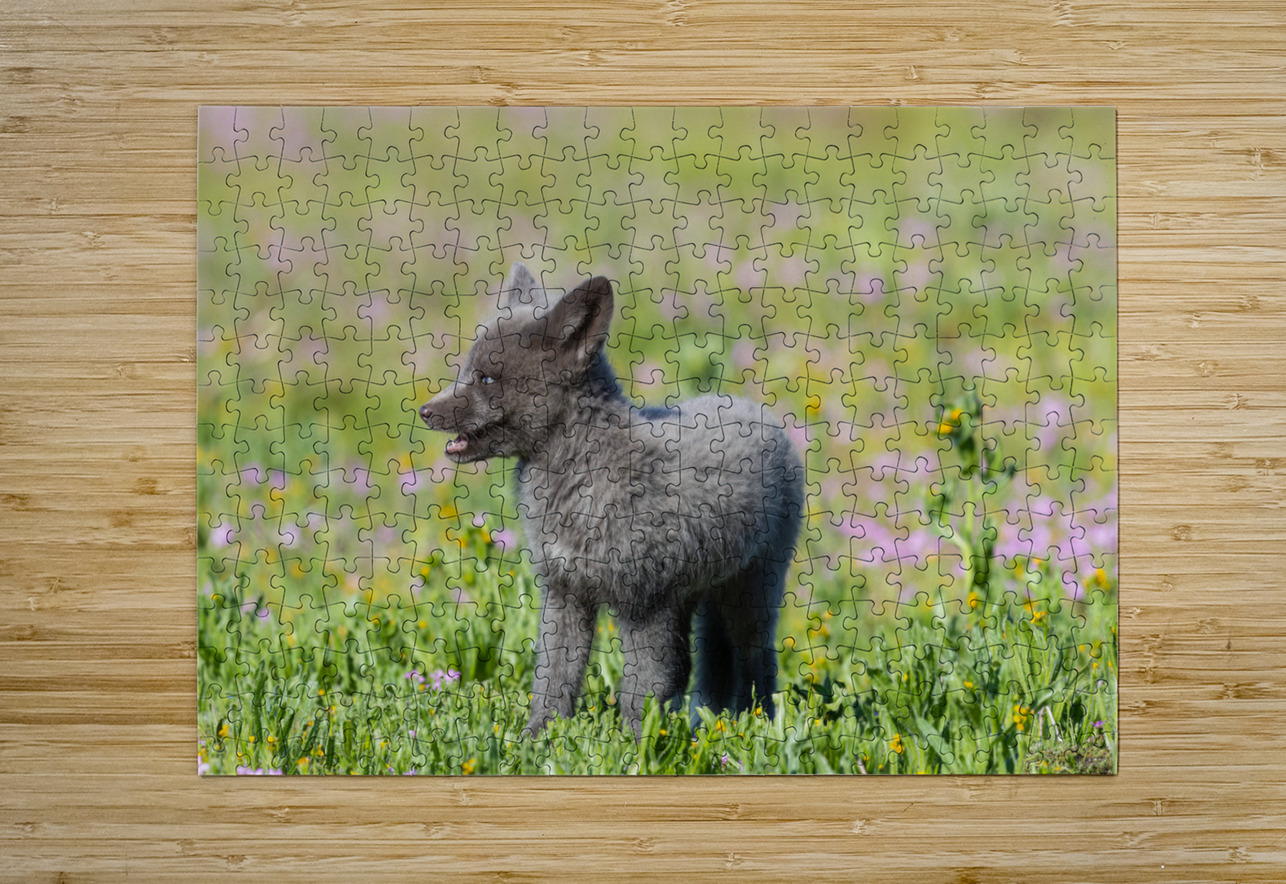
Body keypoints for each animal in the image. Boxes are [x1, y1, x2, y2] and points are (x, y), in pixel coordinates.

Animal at [419, 263, 804, 737]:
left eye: (486, 378)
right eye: (466, 370)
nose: (424, 411)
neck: (588, 476)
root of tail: (754, 408)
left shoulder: (645, 603)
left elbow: (641, 688)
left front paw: (635, 745)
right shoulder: (565, 591)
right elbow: (554, 678)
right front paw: (536, 739)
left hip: (751, 593)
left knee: (757, 662)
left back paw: (759, 724)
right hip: (701, 598)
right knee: (706, 666)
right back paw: (709, 722)